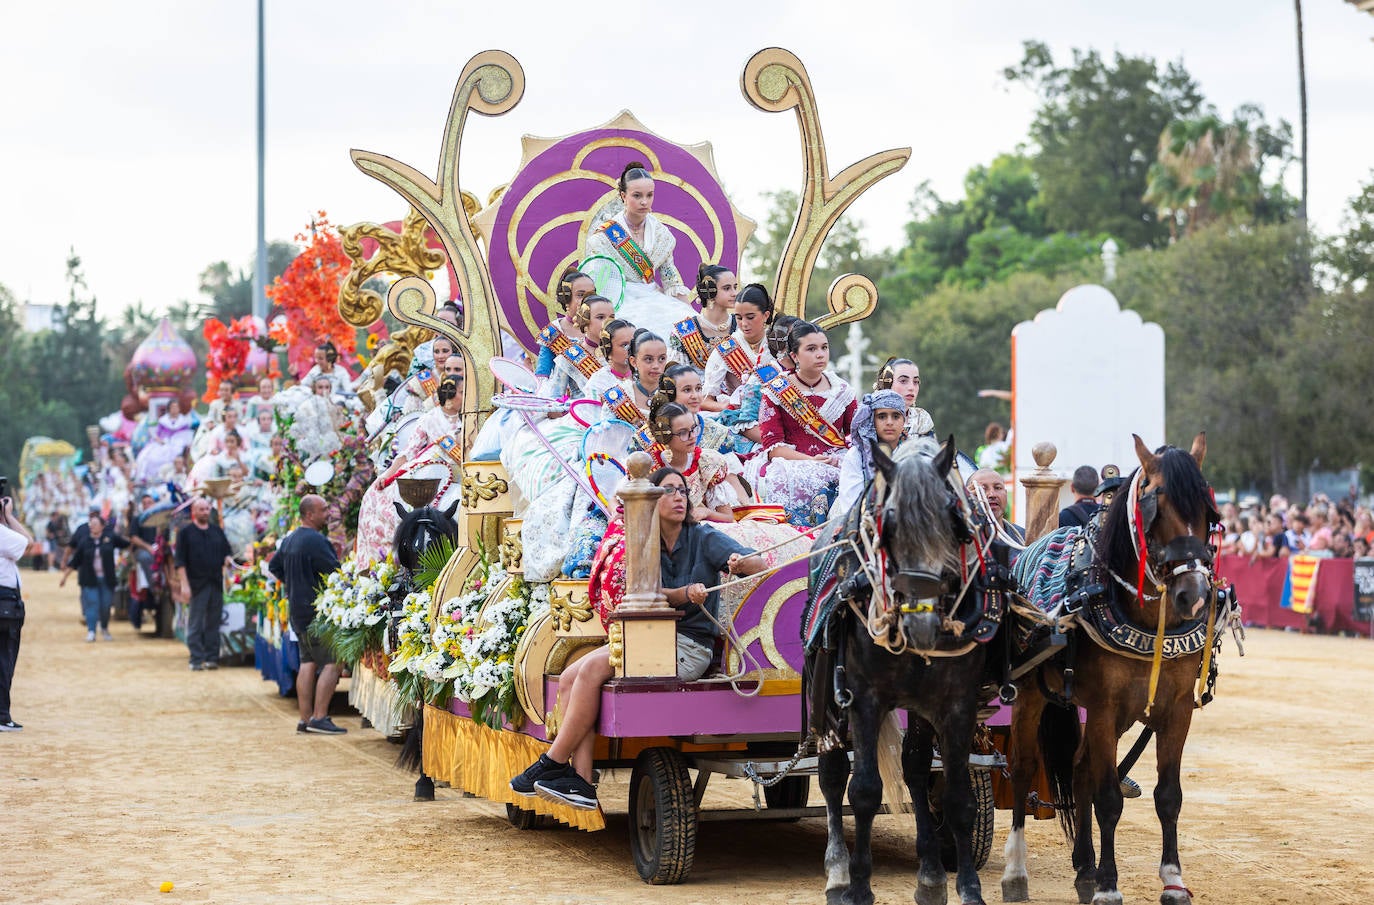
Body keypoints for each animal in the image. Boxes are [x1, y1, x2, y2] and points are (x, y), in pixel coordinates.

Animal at [1000, 433, 1225, 905]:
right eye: (1156, 505)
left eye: (1207, 511)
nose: (1193, 594)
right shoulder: (1104, 708)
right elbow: (1107, 798)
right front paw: (1108, 884)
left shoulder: (1176, 710)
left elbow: (1168, 796)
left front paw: (1172, 880)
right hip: (1031, 693)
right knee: (1024, 766)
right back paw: (1016, 871)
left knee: (1080, 768)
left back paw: (1084, 866)